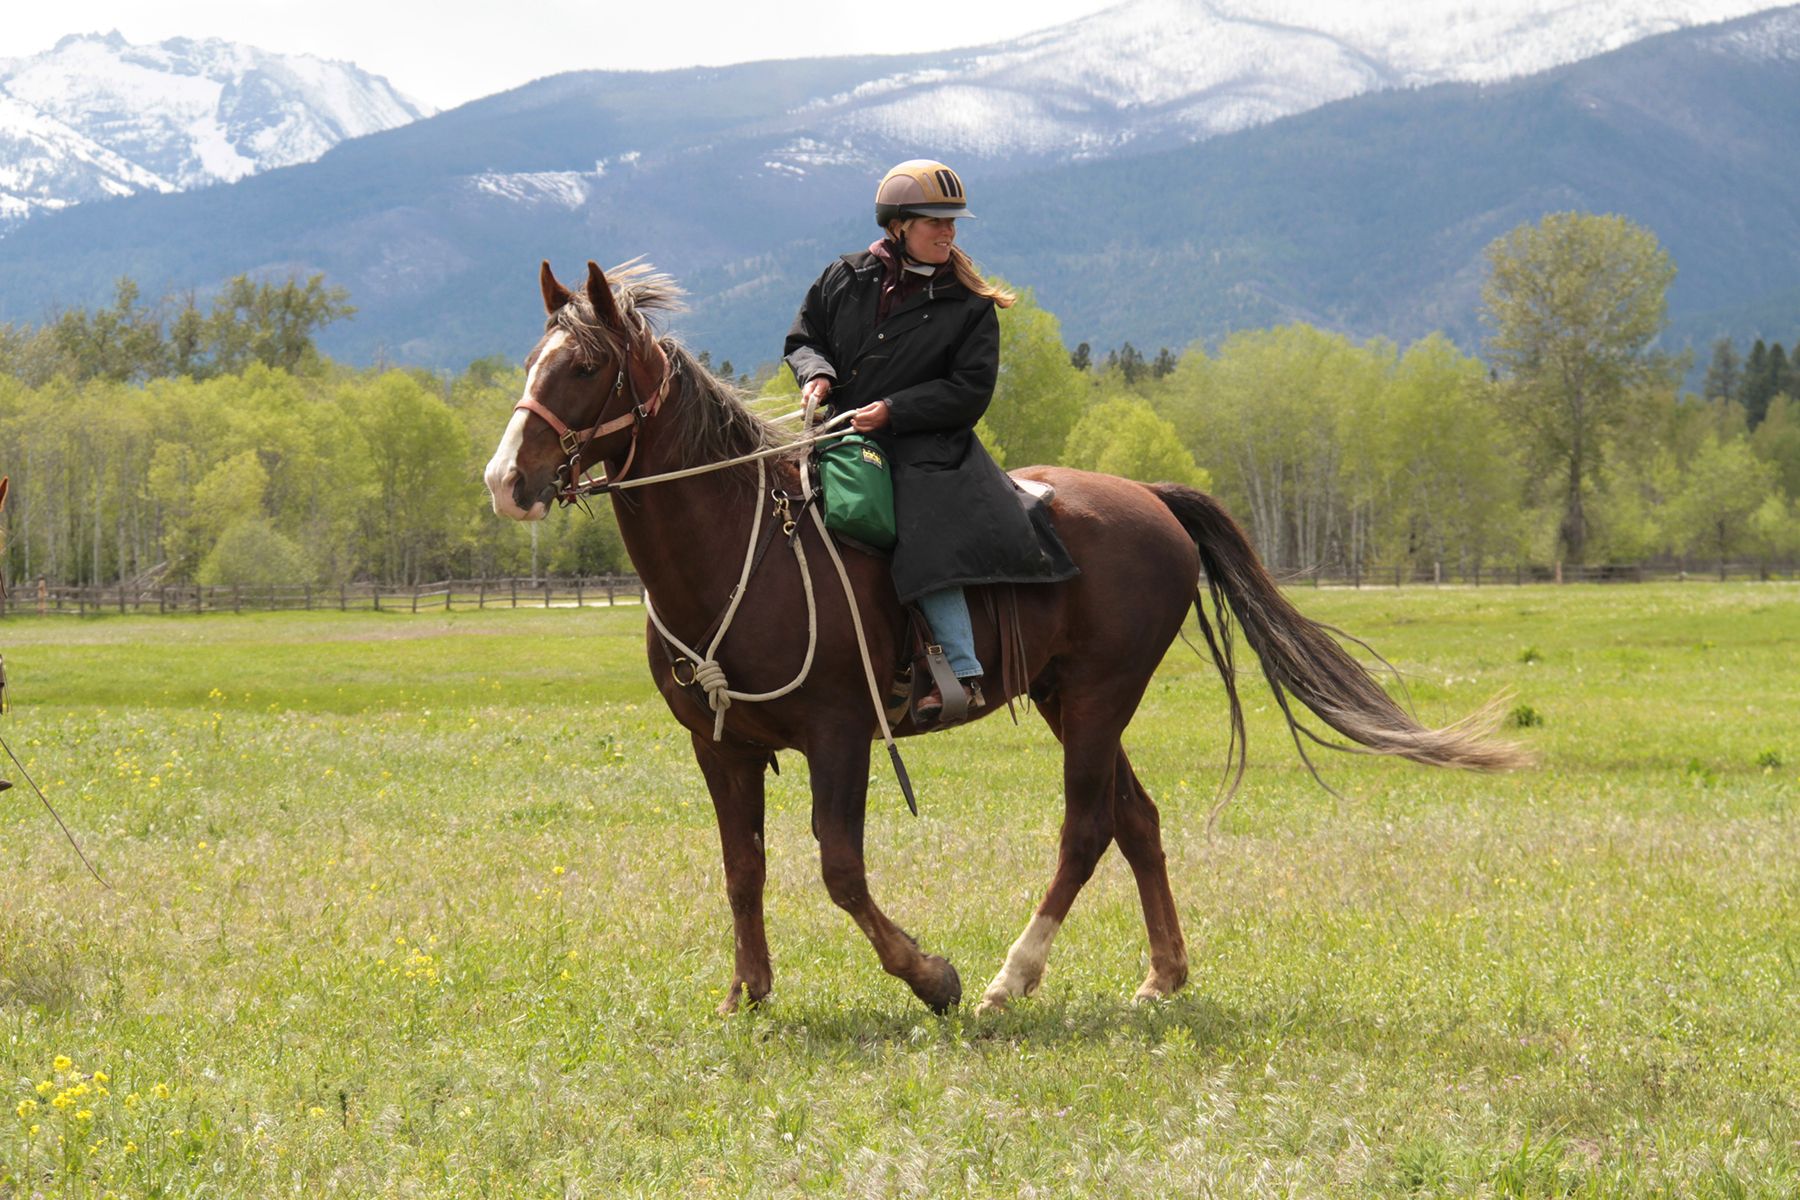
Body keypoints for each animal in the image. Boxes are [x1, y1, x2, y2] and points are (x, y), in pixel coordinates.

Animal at [482, 262, 1519, 1014]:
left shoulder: (840, 735)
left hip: (1099, 698)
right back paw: (1163, 976)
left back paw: (1009, 978)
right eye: (532, 360)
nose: (505, 480)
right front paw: (749, 992)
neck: (747, 547)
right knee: (1137, 821)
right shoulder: (720, 745)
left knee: (1088, 829)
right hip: (1069, 699)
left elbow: (840, 869)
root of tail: (1155, 502)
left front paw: (930, 977)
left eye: (583, 368)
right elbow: (744, 869)